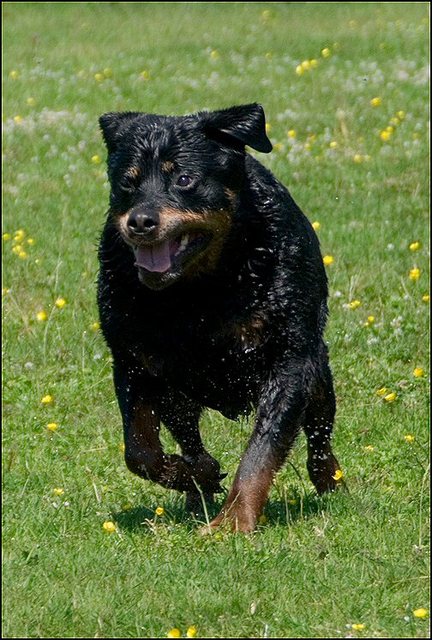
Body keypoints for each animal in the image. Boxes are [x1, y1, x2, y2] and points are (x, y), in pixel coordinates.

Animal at [97, 105, 340, 532]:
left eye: (184, 179)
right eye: (127, 182)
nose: (140, 221)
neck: (198, 290)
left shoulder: (290, 361)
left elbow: (261, 451)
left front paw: (233, 521)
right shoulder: (133, 359)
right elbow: (140, 450)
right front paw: (196, 475)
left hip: (317, 373)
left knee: (319, 433)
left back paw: (332, 481)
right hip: (177, 392)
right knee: (187, 437)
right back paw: (198, 488)